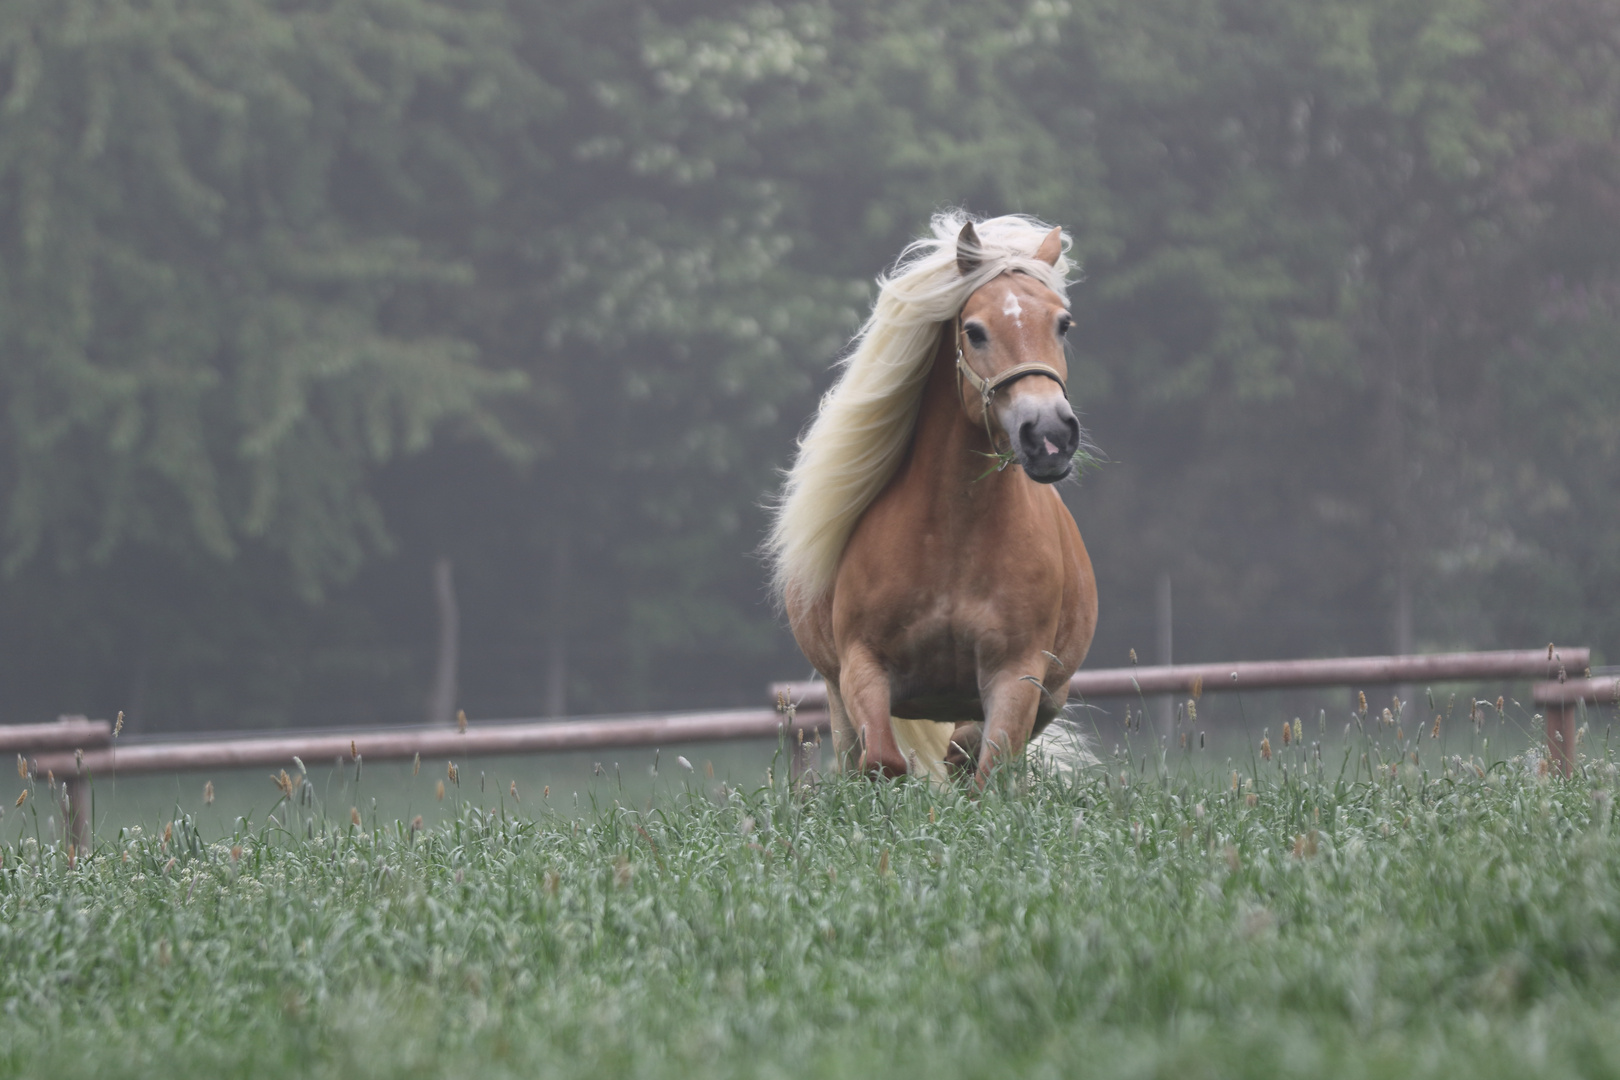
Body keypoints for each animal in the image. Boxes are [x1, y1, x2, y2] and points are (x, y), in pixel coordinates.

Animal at [767, 213, 1101, 786]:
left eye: (1063, 324)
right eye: (975, 330)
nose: (1050, 435)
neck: (953, 536)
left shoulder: (1017, 675)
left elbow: (989, 768)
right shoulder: (862, 667)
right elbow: (883, 761)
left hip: (1049, 696)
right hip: (836, 695)